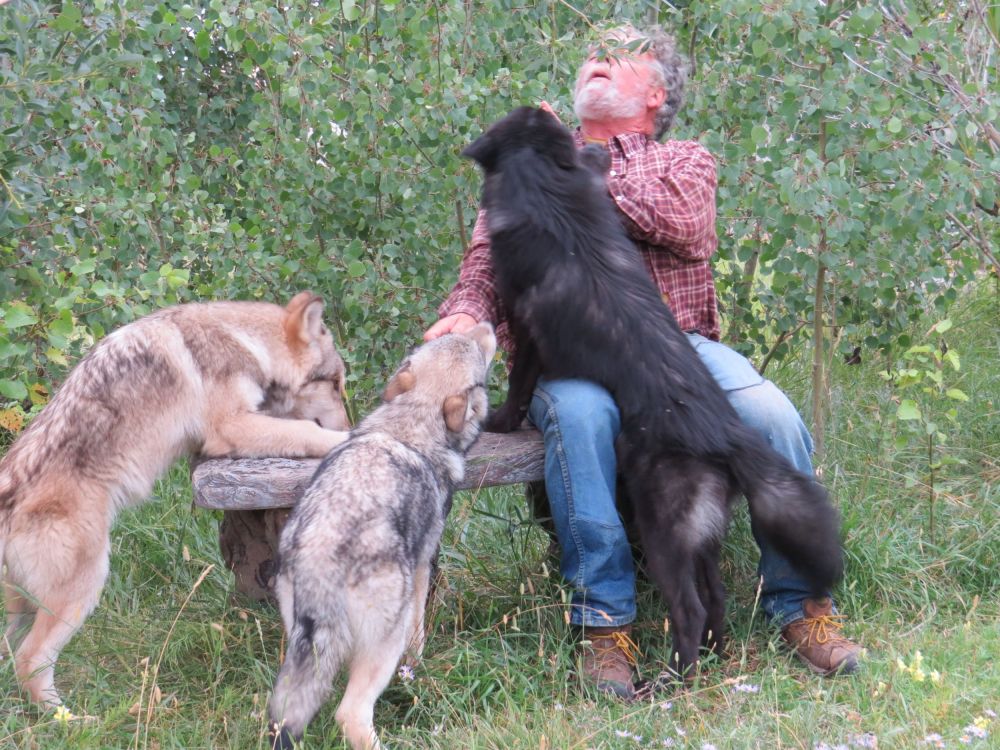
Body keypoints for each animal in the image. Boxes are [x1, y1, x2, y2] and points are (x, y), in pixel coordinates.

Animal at [0, 291, 350, 707]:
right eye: (336, 384)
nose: (349, 421)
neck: (247, 341)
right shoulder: (232, 426)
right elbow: (305, 431)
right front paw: (353, 437)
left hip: (24, 606)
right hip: (82, 590)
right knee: (30, 660)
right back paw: (69, 716)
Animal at [268, 322, 496, 750]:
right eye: (479, 357)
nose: (486, 325)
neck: (411, 422)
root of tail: (322, 554)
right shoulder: (423, 566)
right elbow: (419, 634)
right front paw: (419, 663)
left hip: (303, 639)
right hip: (386, 637)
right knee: (351, 714)